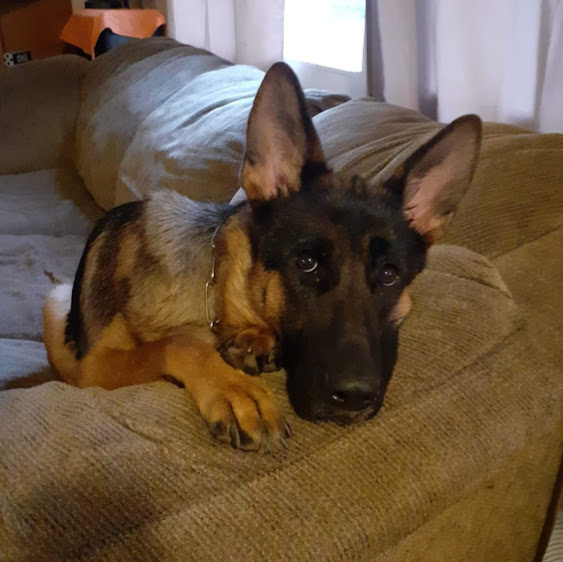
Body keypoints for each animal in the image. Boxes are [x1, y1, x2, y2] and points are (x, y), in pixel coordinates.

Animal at [43, 62, 481, 452]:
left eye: (390, 274)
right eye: (306, 263)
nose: (355, 398)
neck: (212, 292)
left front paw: (251, 342)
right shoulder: (93, 367)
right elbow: (180, 343)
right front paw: (234, 388)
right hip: (55, 304)